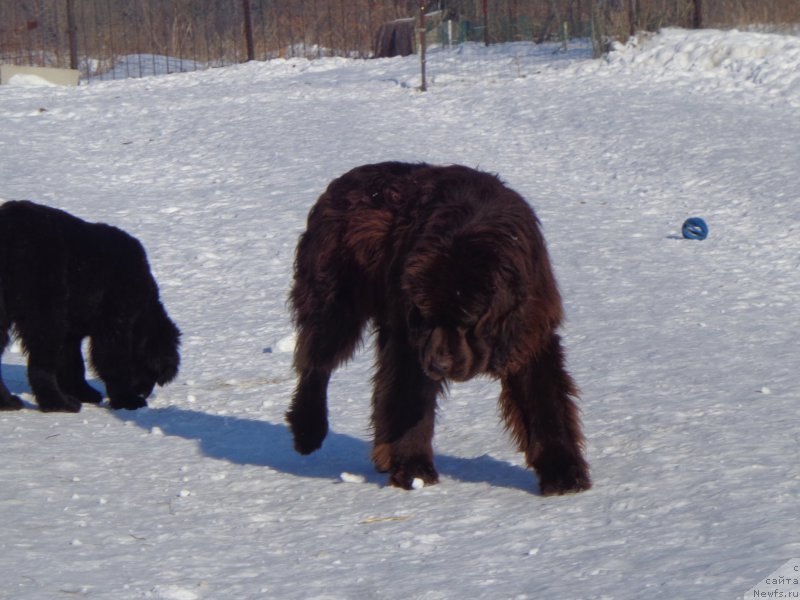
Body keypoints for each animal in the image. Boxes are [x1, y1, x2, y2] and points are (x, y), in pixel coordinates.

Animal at [0, 202, 180, 412]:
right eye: (152, 372)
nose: (144, 393)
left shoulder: (71, 332)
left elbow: (73, 363)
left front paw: (83, 392)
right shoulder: (114, 323)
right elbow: (112, 362)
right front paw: (126, 399)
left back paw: (8, 402)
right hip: (46, 310)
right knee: (41, 366)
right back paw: (59, 404)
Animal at [286, 162, 588, 494]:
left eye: (469, 320)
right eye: (428, 317)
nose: (440, 364)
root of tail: (339, 183)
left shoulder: (529, 333)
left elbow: (545, 405)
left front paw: (563, 474)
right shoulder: (412, 341)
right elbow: (410, 399)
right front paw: (414, 471)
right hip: (335, 304)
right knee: (316, 364)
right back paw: (308, 429)